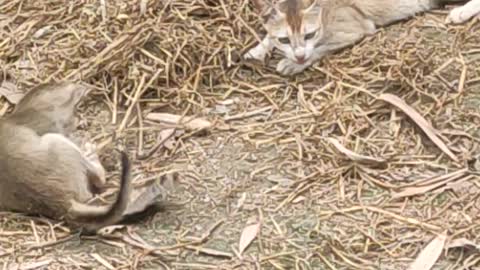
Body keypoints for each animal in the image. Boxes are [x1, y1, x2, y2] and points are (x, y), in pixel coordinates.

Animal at [246, 0, 480, 75]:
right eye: (285, 40)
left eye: (309, 34)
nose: (299, 56)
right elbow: (269, 35)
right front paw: (257, 49)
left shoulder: (358, 27)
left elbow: (321, 47)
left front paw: (292, 64)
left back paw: (460, 12)